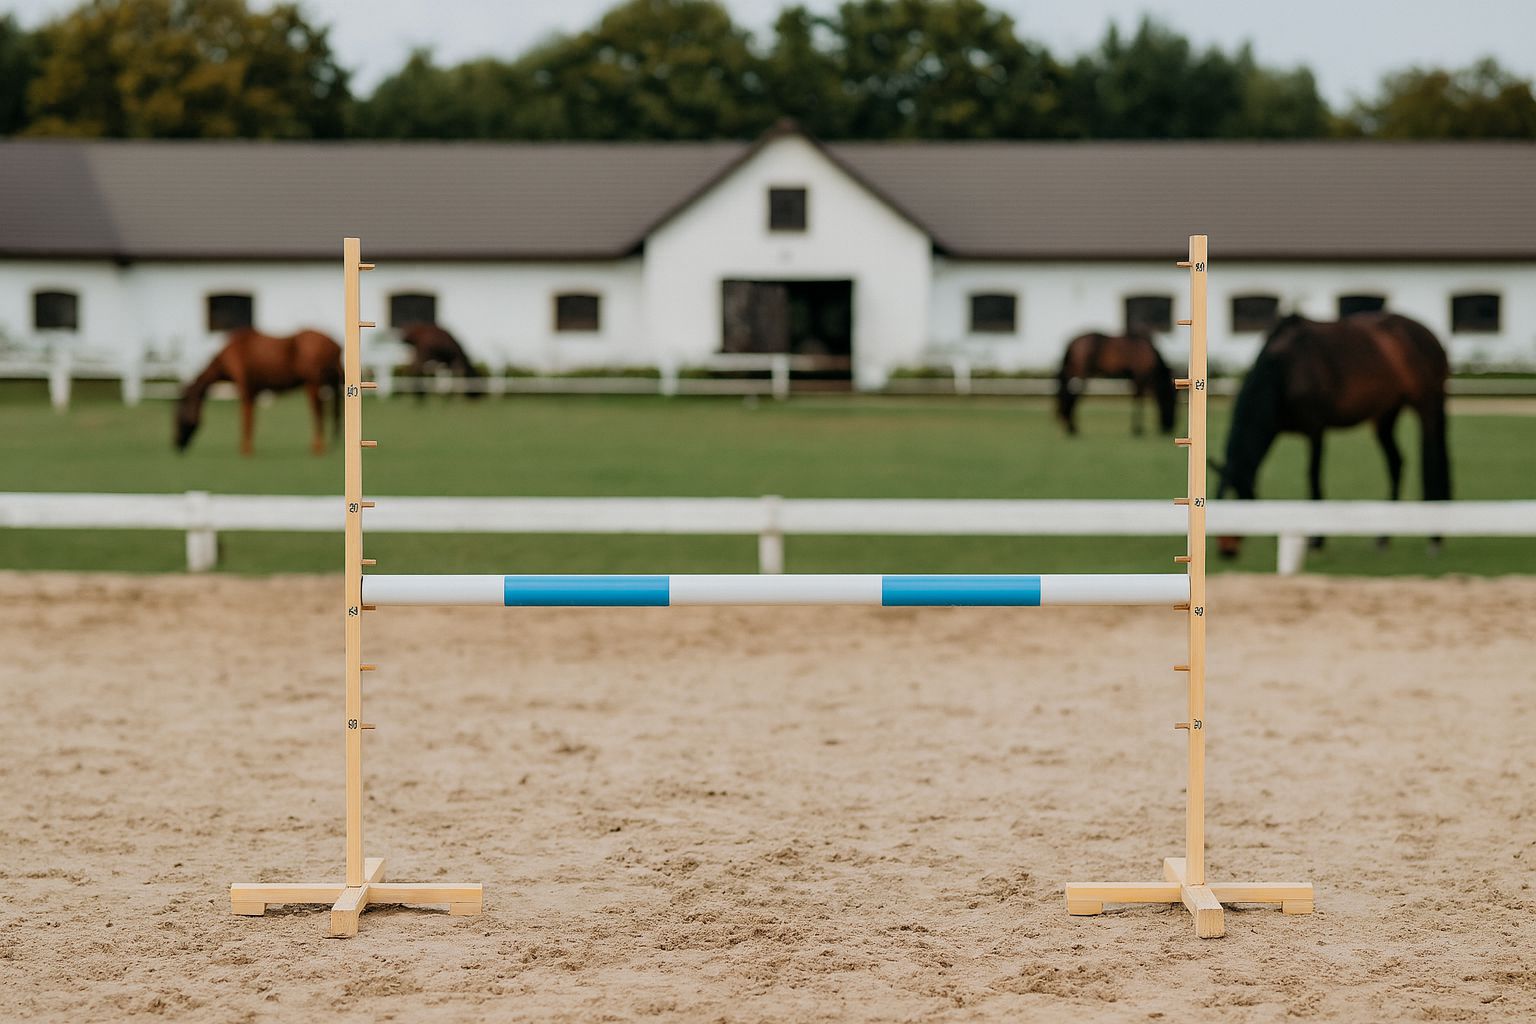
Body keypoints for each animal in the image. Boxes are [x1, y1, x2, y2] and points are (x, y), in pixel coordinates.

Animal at [174, 328, 342, 456]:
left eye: (178, 417)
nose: (176, 444)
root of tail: (335, 344)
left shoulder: (246, 389)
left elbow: (246, 419)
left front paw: (246, 449)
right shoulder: (252, 391)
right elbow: (250, 419)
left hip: (313, 384)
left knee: (319, 414)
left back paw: (318, 447)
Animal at [1212, 312, 1451, 558]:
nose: (1225, 549)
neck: (1286, 369)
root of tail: (1429, 334)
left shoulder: (1315, 430)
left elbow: (1313, 476)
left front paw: (1317, 541)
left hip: (1428, 406)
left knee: (1432, 461)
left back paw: (1434, 538)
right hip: (1386, 415)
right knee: (1396, 463)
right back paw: (1383, 538)